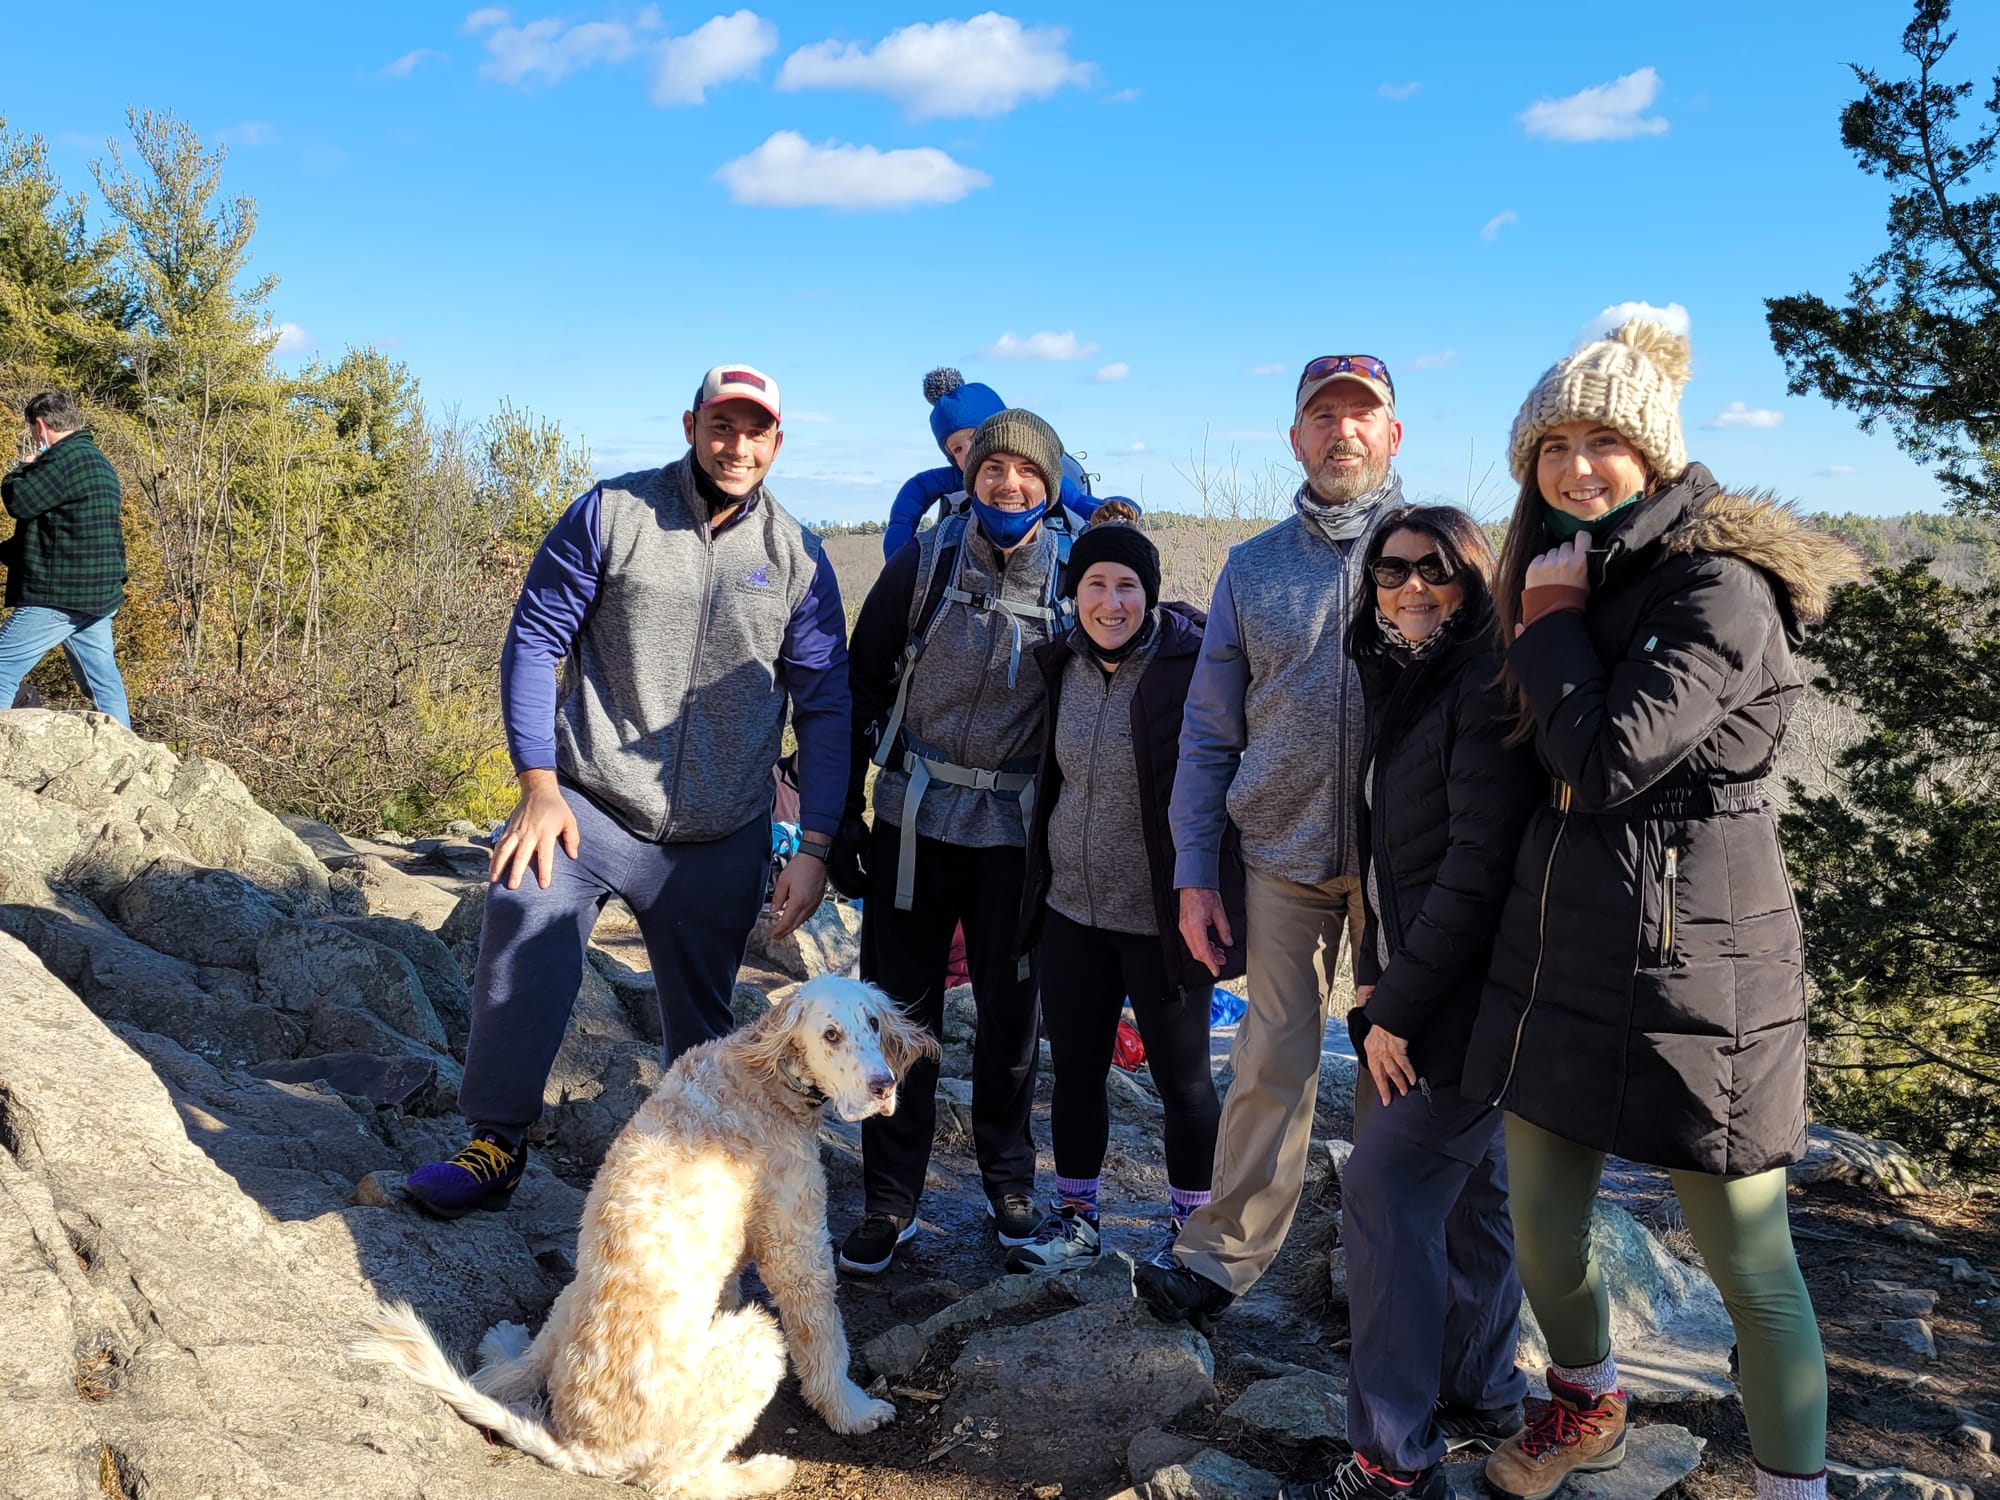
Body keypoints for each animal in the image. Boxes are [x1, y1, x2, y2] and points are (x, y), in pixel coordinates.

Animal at [358, 980, 936, 1496]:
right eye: (831, 1034)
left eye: (875, 1024)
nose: (884, 1086)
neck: (757, 1074)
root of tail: (582, 1450)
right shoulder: (797, 1248)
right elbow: (825, 1343)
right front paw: (855, 1411)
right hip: (756, 1343)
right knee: (672, 1480)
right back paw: (762, 1473)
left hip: (572, 1294)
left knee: (523, 1369)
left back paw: (503, 1347)